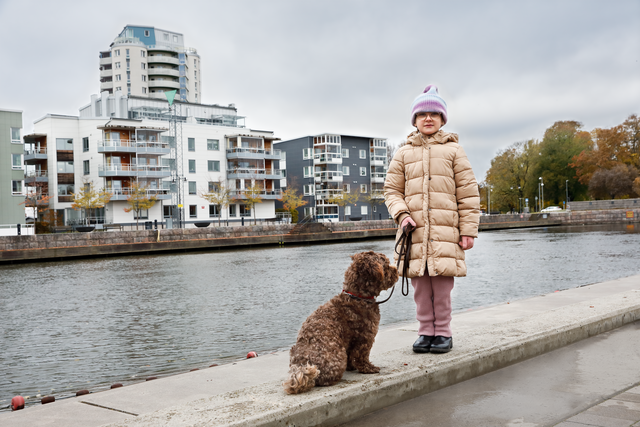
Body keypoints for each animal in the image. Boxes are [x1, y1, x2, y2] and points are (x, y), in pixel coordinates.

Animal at [282, 251, 398, 394]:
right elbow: (361, 356)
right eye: (386, 266)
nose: (396, 270)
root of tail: (301, 366)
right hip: (338, 356)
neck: (358, 296)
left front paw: (352, 367)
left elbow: (352, 354)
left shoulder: (350, 340)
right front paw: (368, 368)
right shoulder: (365, 337)